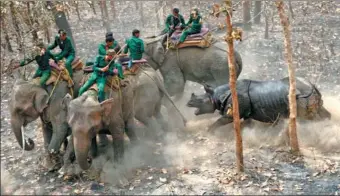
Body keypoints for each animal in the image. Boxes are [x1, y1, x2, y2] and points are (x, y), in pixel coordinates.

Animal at [186, 76, 332, 132]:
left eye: (200, 101)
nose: (188, 103)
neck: (216, 95)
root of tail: (312, 85)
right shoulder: (246, 113)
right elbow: (246, 123)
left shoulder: (234, 111)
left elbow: (221, 121)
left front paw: (208, 132)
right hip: (310, 95)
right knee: (321, 112)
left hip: (302, 97)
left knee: (307, 118)